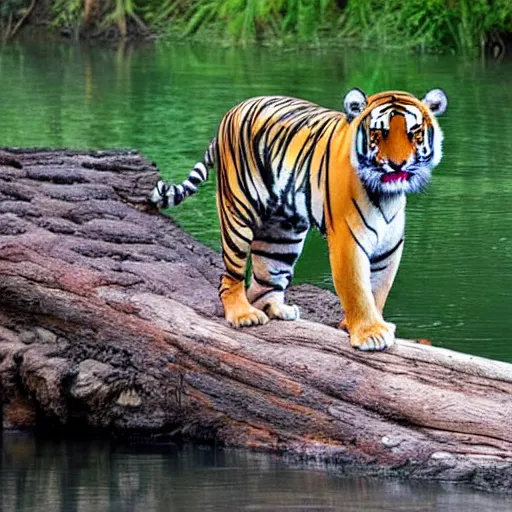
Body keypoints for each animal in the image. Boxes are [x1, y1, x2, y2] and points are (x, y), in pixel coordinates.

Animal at [150, 89, 446, 352]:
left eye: (414, 133)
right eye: (378, 133)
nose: (398, 165)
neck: (386, 195)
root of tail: (229, 115)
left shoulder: (390, 247)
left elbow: (378, 290)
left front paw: (364, 325)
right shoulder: (348, 241)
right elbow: (358, 290)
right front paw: (369, 333)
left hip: (283, 232)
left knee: (264, 278)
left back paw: (276, 309)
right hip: (238, 213)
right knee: (230, 277)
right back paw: (243, 315)